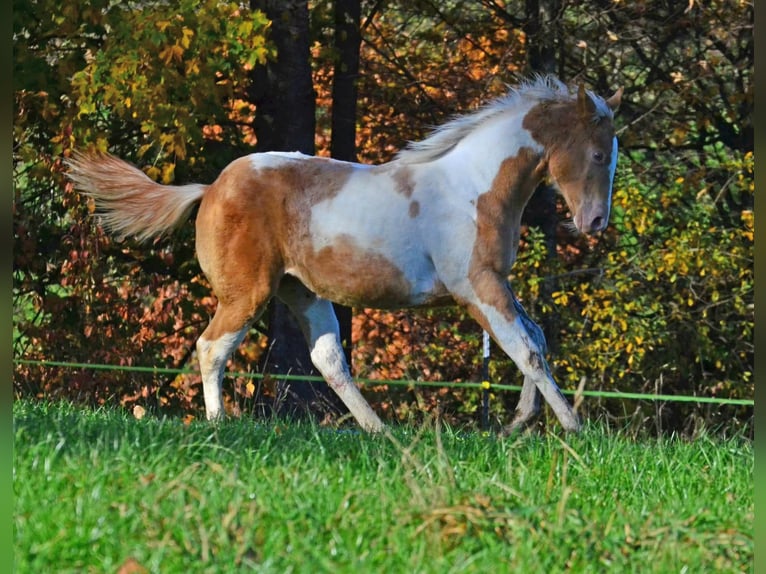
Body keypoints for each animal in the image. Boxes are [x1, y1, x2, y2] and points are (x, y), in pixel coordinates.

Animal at [66, 75, 622, 434]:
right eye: (598, 154)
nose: (595, 222)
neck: (472, 188)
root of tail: (212, 187)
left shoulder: (495, 285)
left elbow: (535, 339)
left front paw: (519, 424)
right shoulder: (477, 286)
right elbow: (525, 348)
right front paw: (575, 428)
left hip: (302, 292)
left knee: (328, 360)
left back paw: (379, 431)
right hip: (248, 292)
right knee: (212, 347)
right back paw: (219, 424)